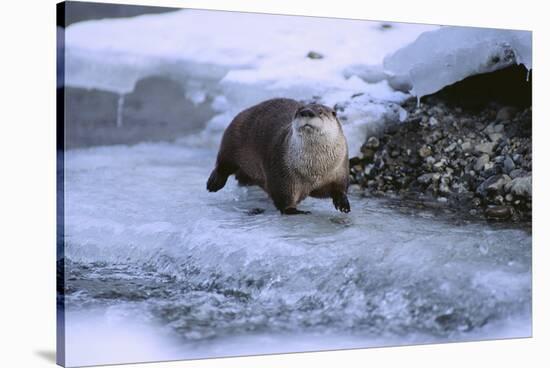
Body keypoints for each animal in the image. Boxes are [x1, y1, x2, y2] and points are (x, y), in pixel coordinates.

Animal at [207, 98, 350, 214]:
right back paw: (214, 183)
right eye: (298, 111)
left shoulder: (340, 170)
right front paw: (292, 210)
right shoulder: (282, 172)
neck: (314, 171)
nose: (306, 112)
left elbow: (338, 188)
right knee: (224, 162)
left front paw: (343, 203)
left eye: (320, 111)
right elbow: (283, 196)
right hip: (232, 138)